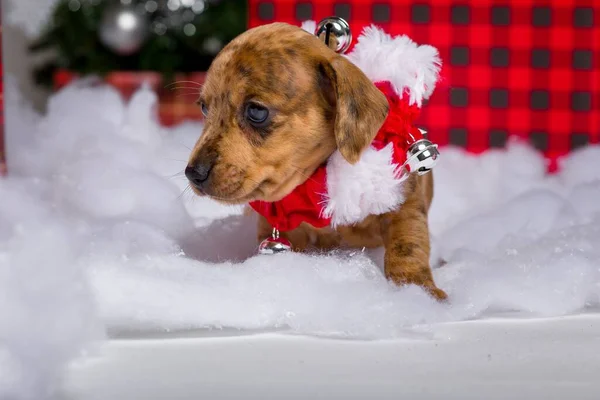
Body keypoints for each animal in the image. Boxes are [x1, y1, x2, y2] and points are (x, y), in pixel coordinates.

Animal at [185, 22, 448, 300]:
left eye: (256, 111)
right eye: (204, 108)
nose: (193, 174)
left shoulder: (403, 200)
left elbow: (408, 243)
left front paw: (417, 288)